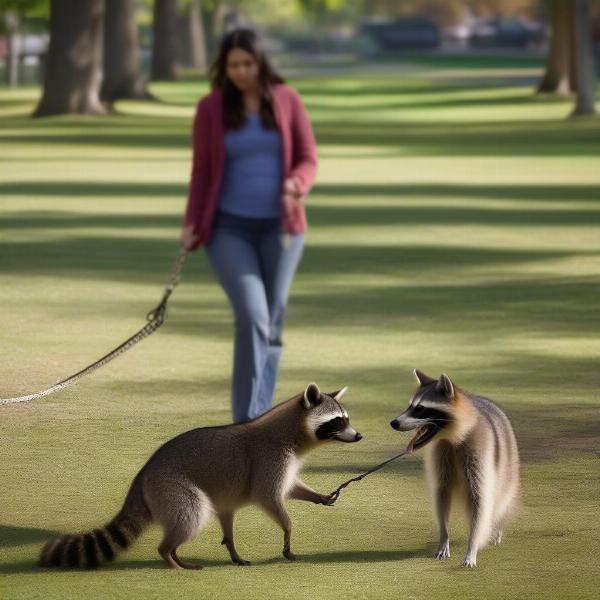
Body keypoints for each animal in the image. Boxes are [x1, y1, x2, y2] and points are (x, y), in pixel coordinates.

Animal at [42, 384, 364, 572]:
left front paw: (317, 496)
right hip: (173, 487)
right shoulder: (270, 457)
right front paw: (287, 532)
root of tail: (143, 474)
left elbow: (288, 488)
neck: (295, 432)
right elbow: (269, 496)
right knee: (192, 514)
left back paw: (223, 550)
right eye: (338, 421)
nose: (359, 435)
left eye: (346, 419)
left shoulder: (286, 462)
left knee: (221, 517)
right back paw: (169, 556)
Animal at [392, 368, 516, 568]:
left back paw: (497, 526)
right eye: (410, 406)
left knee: (501, 496)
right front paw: (444, 538)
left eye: (421, 408)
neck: (452, 437)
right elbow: (442, 494)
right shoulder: (442, 454)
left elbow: (479, 499)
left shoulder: (478, 453)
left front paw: (472, 545)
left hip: (506, 461)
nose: (393, 423)